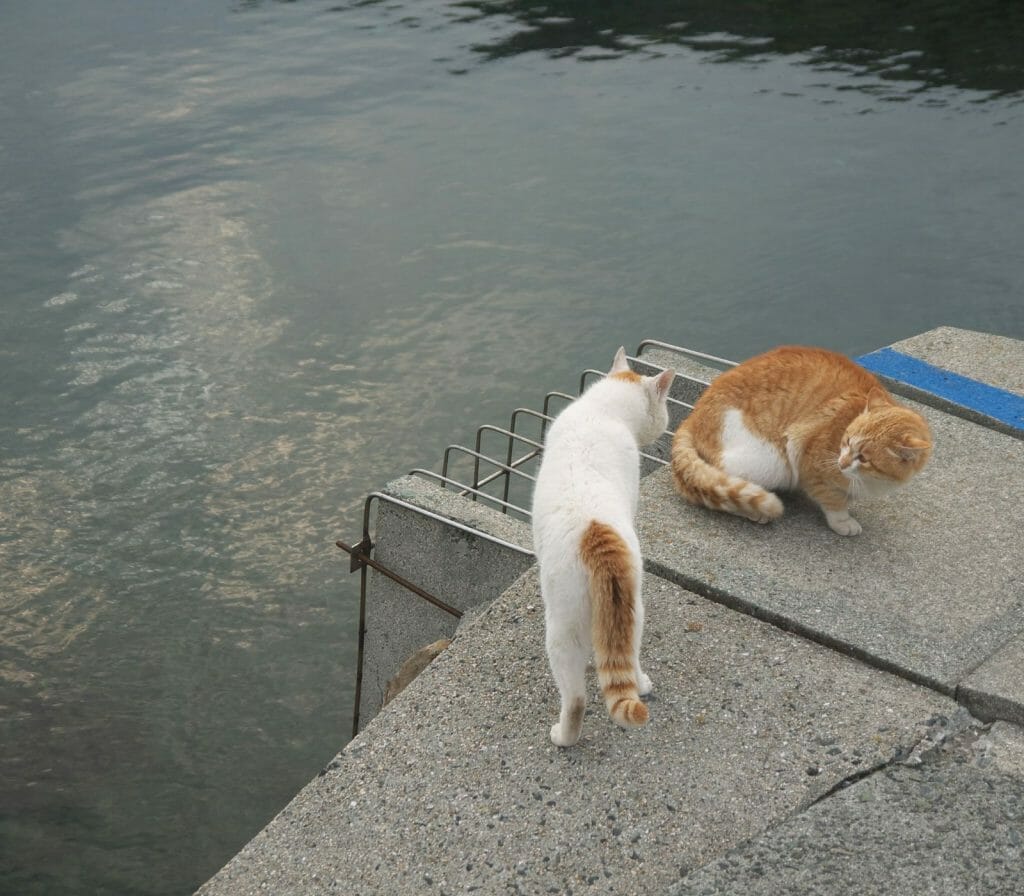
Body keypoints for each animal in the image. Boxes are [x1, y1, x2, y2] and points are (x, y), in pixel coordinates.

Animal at [532, 346, 675, 745]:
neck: (602, 411)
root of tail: (597, 534)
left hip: (562, 627)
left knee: (576, 698)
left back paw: (563, 737)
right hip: (632, 609)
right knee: (629, 657)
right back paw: (641, 684)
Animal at [675, 346, 933, 536]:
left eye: (864, 458)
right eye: (847, 441)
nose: (841, 463)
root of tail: (694, 414)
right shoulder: (810, 460)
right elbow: (832, 499)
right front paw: (843, 521)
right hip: (771, 462)